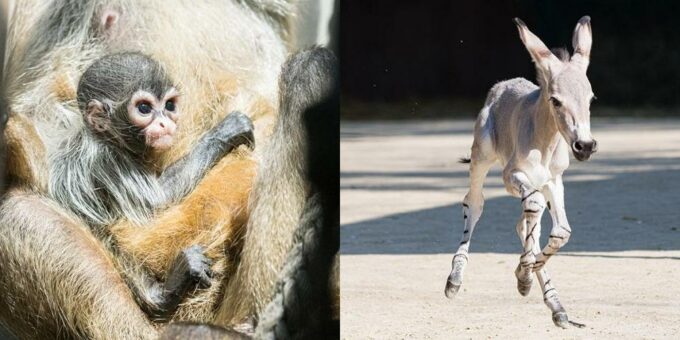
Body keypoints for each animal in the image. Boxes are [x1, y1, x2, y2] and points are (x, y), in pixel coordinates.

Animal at [0, 1, 334, 338]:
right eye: (144, 109)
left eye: (169, 106)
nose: (164, 123)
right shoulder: (106, 157)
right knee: (17, 208)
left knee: (309, 70)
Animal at [448, 16, 596, 330]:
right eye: (555, 100)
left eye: (590, 98)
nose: (585, 146)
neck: (545, 140)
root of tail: (504, 85)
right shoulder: (511, 176)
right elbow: (534, 207)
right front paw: (524, 272)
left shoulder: (554, 180)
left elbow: (561, 231)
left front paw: (527, 274)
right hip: (481, 158)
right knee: (475, 203)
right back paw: (454, 280)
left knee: (529, 222)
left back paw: (555, 305)